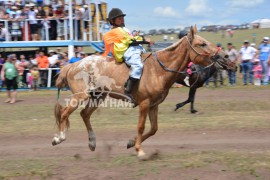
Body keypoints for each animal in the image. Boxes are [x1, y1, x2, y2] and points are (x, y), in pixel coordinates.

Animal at [52, 26, 232, 159]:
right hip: (80, 95)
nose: (225, 56)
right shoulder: (144, 104)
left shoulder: (154, 105)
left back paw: (92, 142)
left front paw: (131, 143)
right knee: (65, 112)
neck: (158, 69)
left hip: (97, 97)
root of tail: (73, 65)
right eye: (202, 44)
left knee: (84, 114)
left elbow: (154, 129)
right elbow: (141, 126)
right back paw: (59, 137)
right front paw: (139, 150)